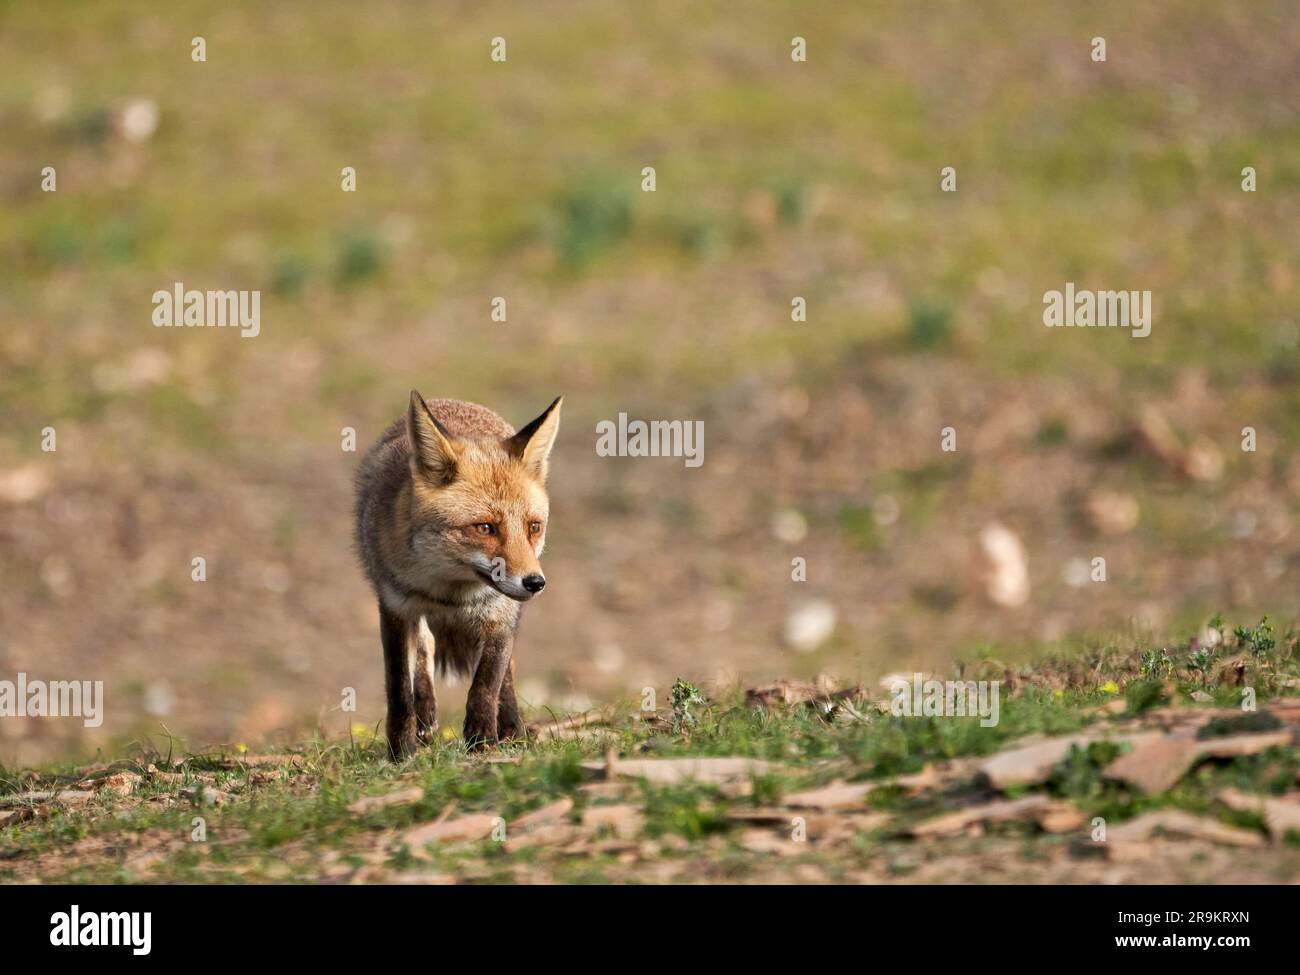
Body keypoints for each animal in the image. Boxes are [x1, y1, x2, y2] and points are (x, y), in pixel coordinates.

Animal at [353, 392, 561, 759]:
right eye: (485, 527)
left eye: (533, 527)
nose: (535, 583)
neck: (451, 592)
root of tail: (448, 400)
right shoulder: (395, 607)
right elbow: (399, 687)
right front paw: (401, 750)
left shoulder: (500, 614)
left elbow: (487, 684)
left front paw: (482, 740)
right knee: (425, 652)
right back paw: (426, 718)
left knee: (506, 674)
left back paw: (513, 729)